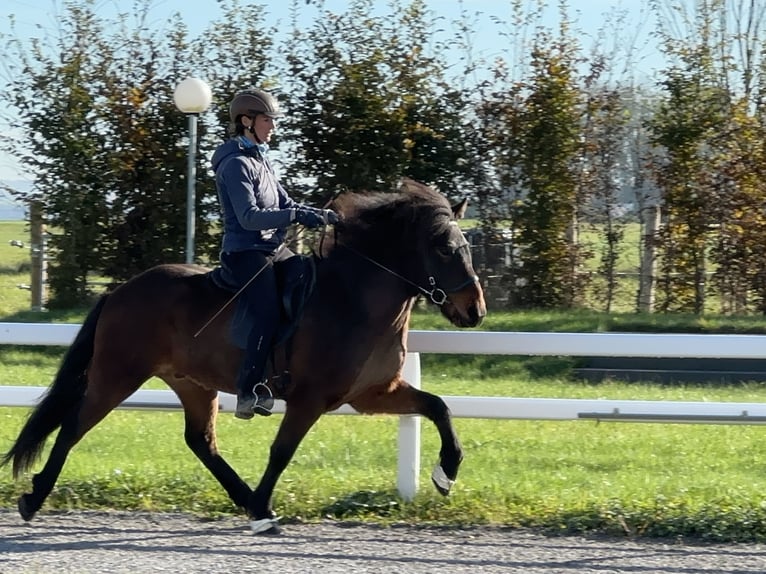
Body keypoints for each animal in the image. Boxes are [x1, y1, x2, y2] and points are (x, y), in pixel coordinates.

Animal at [1, 179, 486, 536]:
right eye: (445, 248)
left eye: (467, 246)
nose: (474, 310)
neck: (354, 297)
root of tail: (119, 291)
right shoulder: (311, 399)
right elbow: (282, 451)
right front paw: (263, 507)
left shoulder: (374, 393)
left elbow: (438, 407)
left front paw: (446, 473)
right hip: (116, 376)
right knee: (72, 427)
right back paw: (32, 498)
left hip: (192, 384)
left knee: (200, 441)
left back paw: (242, 497)